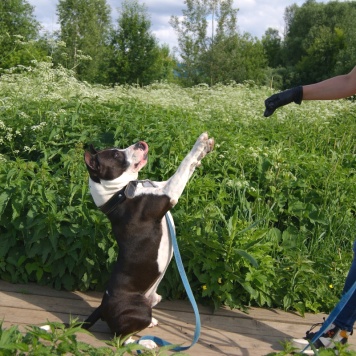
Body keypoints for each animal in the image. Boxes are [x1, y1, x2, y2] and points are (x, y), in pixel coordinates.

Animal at [82, 133, 213, 344]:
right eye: (116, 156)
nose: (140, 143)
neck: (118, 194)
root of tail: (102, 307)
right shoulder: (170, 192)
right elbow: (183, 166)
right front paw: (199, 144)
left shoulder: (163, 186)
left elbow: (189, 167)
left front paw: (204, 150)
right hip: (139, 311)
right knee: (120, 338)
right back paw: (145, 343)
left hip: (152, 300)